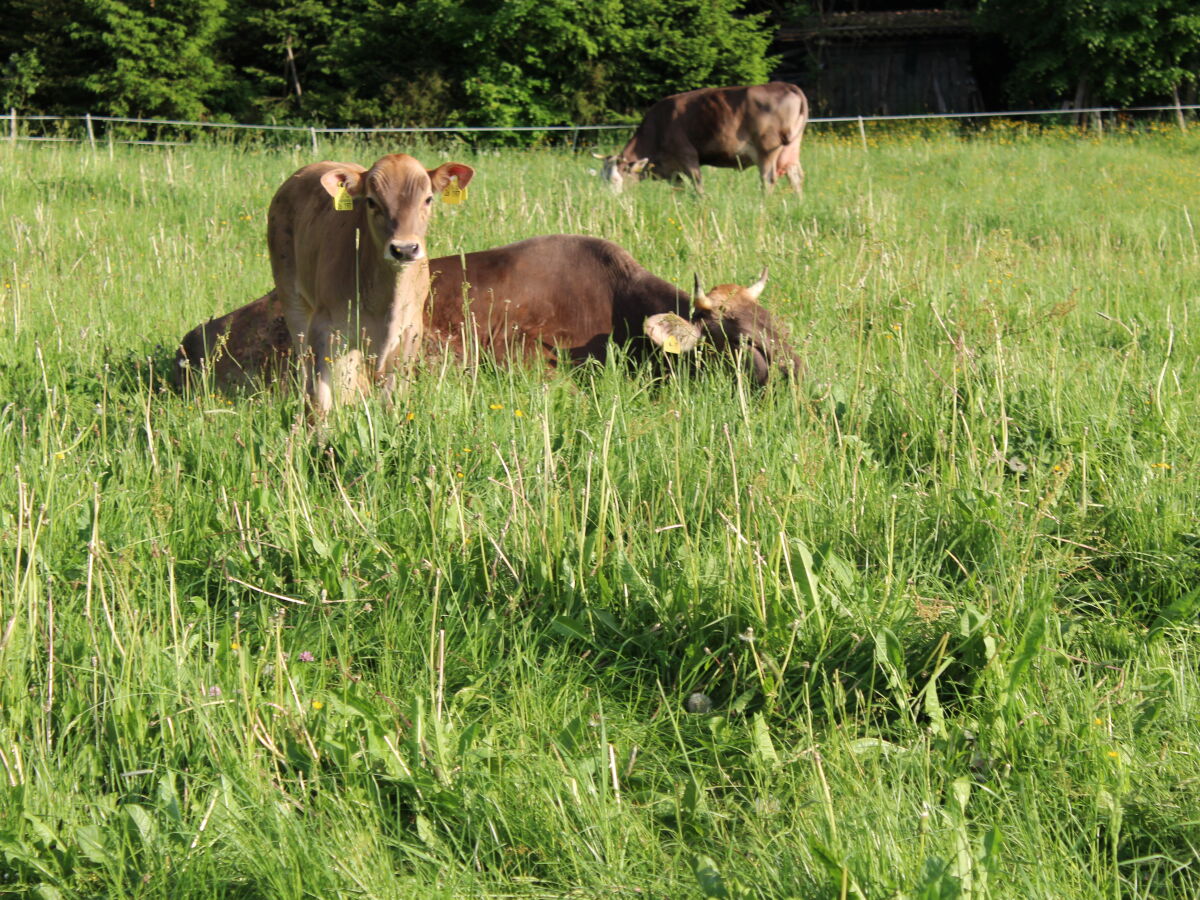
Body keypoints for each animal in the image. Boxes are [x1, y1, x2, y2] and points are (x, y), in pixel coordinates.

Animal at [267, 153, 472, 415]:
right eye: (372, 201)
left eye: (427, 199)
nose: (404, 249)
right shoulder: (325, 328)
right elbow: (321, 399)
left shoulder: (409, 334)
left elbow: (392, 401)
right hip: (292, 298)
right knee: (305, 366)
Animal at [595, 83, 811, 195]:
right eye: (601, 178)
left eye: (615, 179)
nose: (609, 202)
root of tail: (787, 86)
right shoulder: (673, 170)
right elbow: (679, 189)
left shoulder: (687, 156)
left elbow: (698, 187)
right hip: (791, 148)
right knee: (796, 176)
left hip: (767, 149)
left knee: (768, 179)